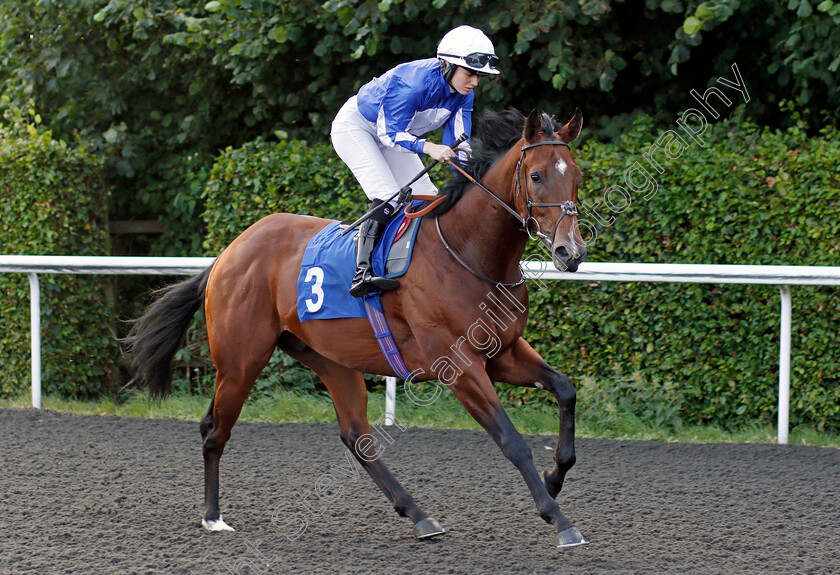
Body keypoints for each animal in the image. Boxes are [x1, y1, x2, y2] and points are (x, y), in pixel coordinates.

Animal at [128, 107, 592, 548]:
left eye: (577, 175)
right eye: (536, 175)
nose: (570, 252)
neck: (469, 252)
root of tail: (228, 252)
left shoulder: (503, 352)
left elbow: (565, 389)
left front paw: (555, 476)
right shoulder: (459, 366)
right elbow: (511, 440)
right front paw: (561, 521)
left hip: (332, 359)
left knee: (357, 438)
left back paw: (419, 516)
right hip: (240, 360)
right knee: (214, 429)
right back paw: (212, 516)